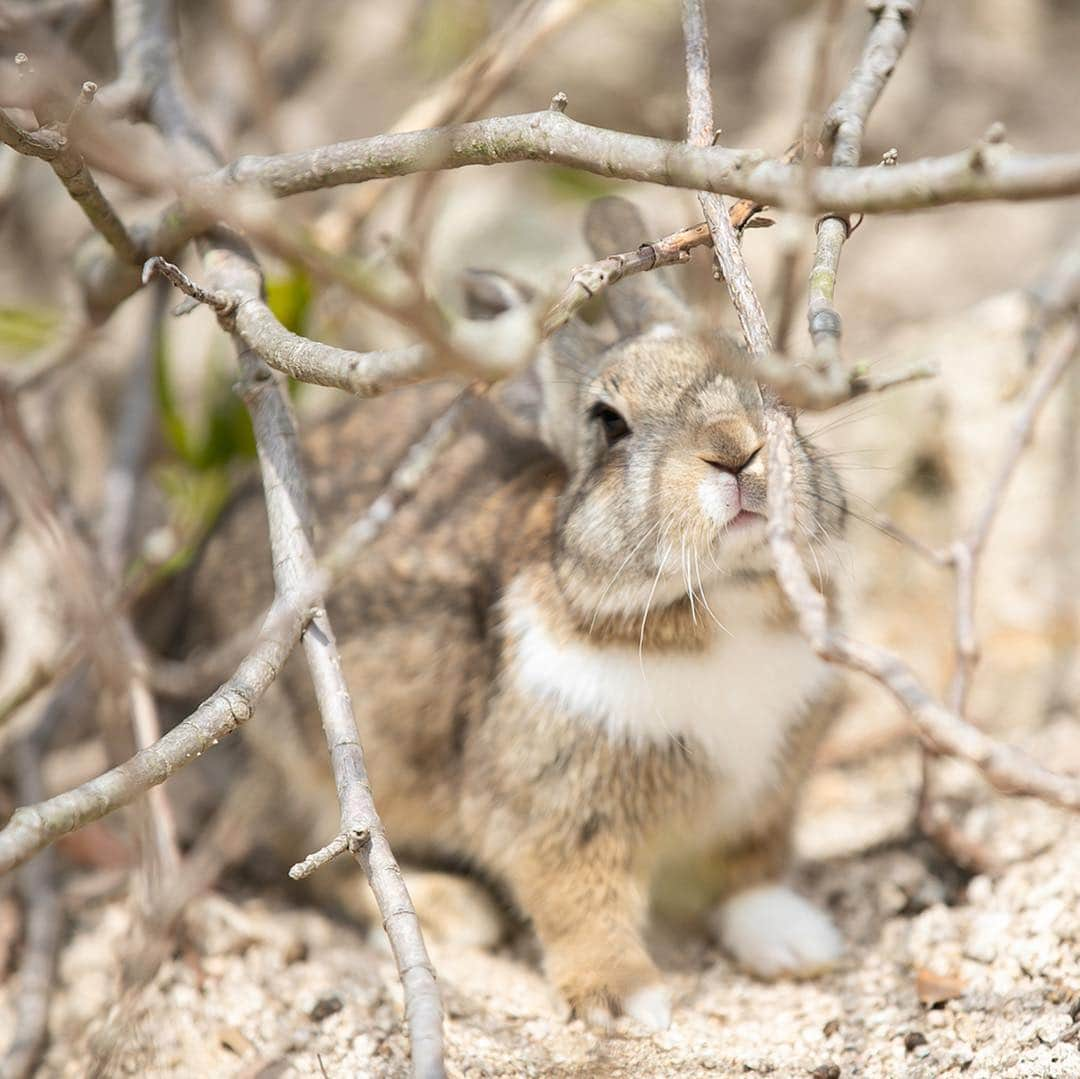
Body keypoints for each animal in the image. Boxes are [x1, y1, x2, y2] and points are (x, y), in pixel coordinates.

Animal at [174, 198, 851, 1032]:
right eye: (609, 424)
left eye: (754, 368)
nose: (734, 451)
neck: (718, 601)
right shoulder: (560, 812)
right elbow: (581, 904)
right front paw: (630, 999)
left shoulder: (769, 792)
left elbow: (750, 870)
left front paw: (797, 941)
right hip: (306, 762)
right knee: (314, 857)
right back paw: (453, 910)